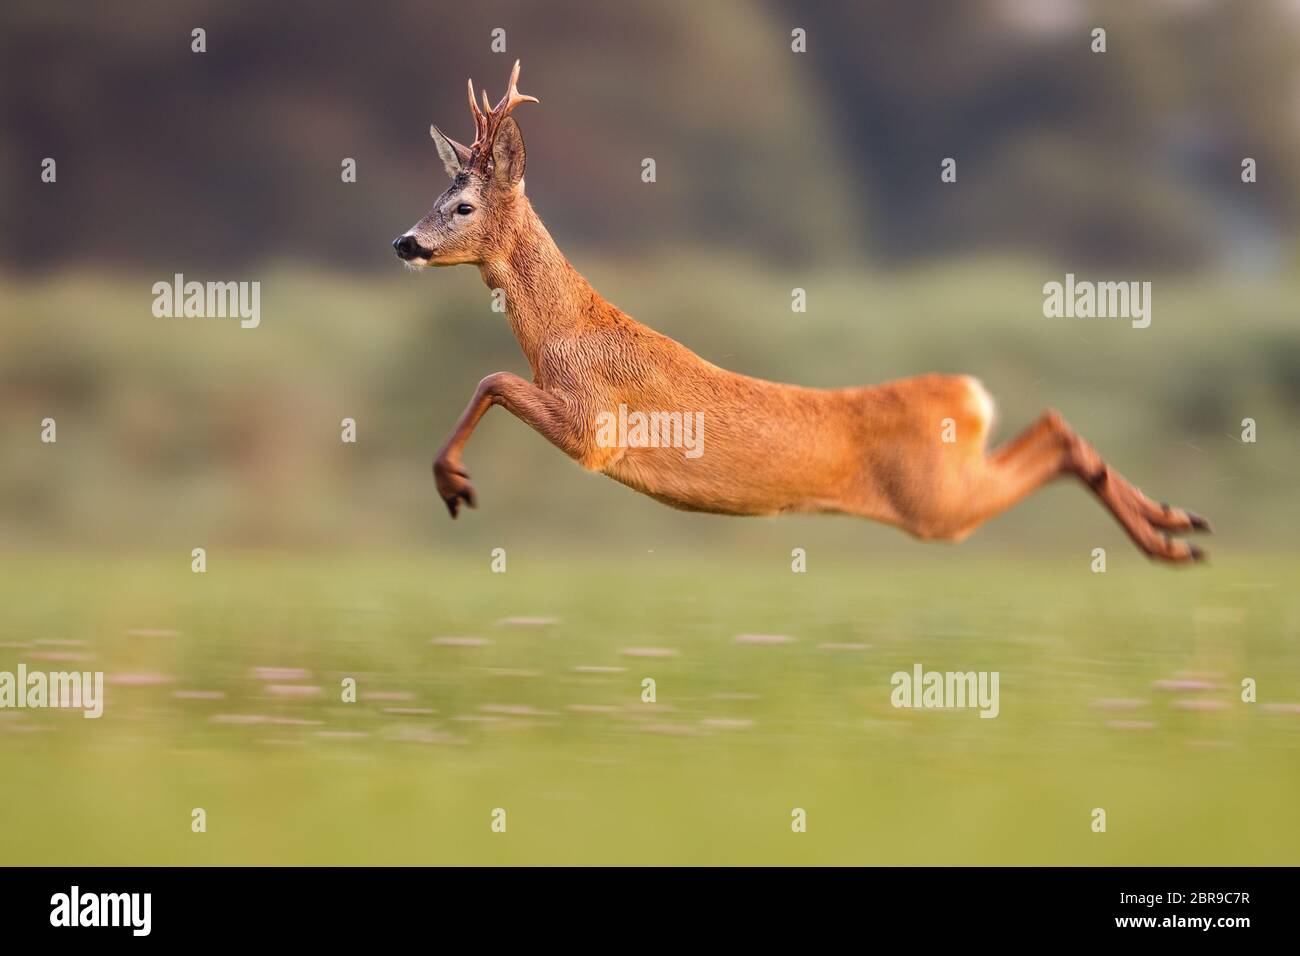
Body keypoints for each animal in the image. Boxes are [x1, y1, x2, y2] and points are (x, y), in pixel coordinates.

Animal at [392, 61, 1210, 563]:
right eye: (435, 196)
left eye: (462, 206)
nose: (403, 241)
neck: (563, 334)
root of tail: (969, 395)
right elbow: (493, 379)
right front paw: (450, 480)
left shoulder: (594, 428)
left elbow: (493, 378)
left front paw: (453, 484)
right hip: (948, 486)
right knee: (1053, 427)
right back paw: (1178, 527)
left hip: (937, 503)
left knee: (1054, 436)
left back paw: (1173, 537)